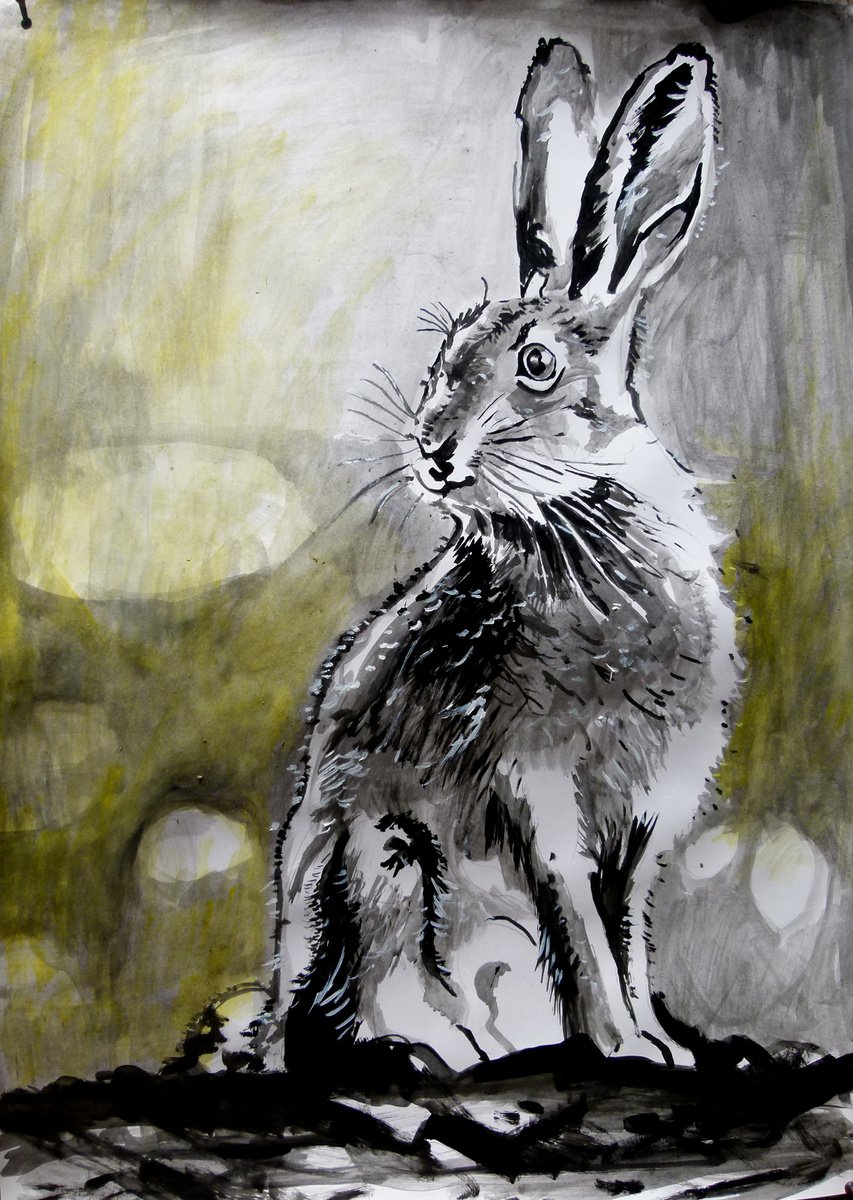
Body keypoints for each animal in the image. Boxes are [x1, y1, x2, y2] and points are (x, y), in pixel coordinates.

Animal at [261, 38, 736, 1075]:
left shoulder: (649, 814)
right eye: (443, 353)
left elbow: (625, 930)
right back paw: (425, 1056)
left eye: (536, 365)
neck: (570, 517)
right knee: (358, 1001)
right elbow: (580, 927)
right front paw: (622, 1048)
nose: (432, 453)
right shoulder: (534, 790)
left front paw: (659, 1047)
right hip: (385, 863)